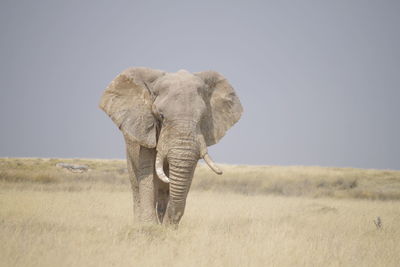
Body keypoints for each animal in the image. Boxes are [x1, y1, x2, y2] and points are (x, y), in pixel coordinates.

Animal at [100, 67, 244, 226]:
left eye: (202, 117)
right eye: (161, 116)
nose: (170, 224)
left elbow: (187, 176)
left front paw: (167, 228)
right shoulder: (146, 128)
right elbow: (147, 170)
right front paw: (149, 227)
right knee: (136, 184)